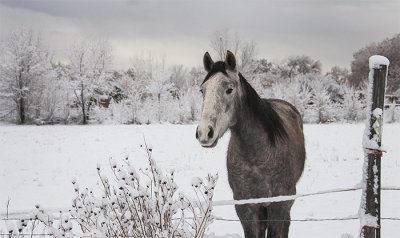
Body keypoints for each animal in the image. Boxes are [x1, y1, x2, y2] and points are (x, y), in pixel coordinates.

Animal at [197, 50, 306, 238]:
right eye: (202, 90)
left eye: (229, 89)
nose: (204, 132)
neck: (257, 158)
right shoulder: (245, 208)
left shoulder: (278, 206)